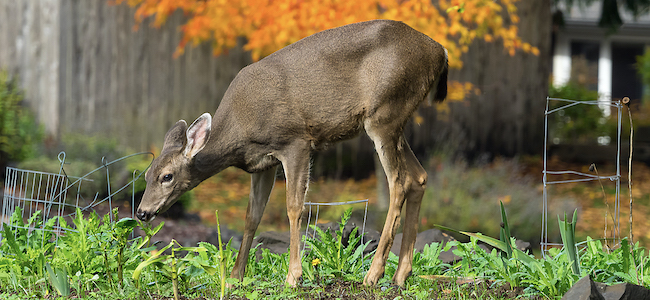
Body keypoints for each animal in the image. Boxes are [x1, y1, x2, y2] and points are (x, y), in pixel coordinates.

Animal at [136, 19, 446, 288]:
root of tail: (439, 51)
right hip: (396, 120)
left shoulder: (295, 141)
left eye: (167, 176)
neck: (240, 130)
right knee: (419, 177)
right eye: (146, 174)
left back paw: (374, 274)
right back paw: (400, 275)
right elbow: (252, 215)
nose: (141, 212)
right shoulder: (262, 163)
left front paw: (293, 276)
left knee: (399, 182)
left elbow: (295, 207)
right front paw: (236, 276)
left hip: (384, 113)